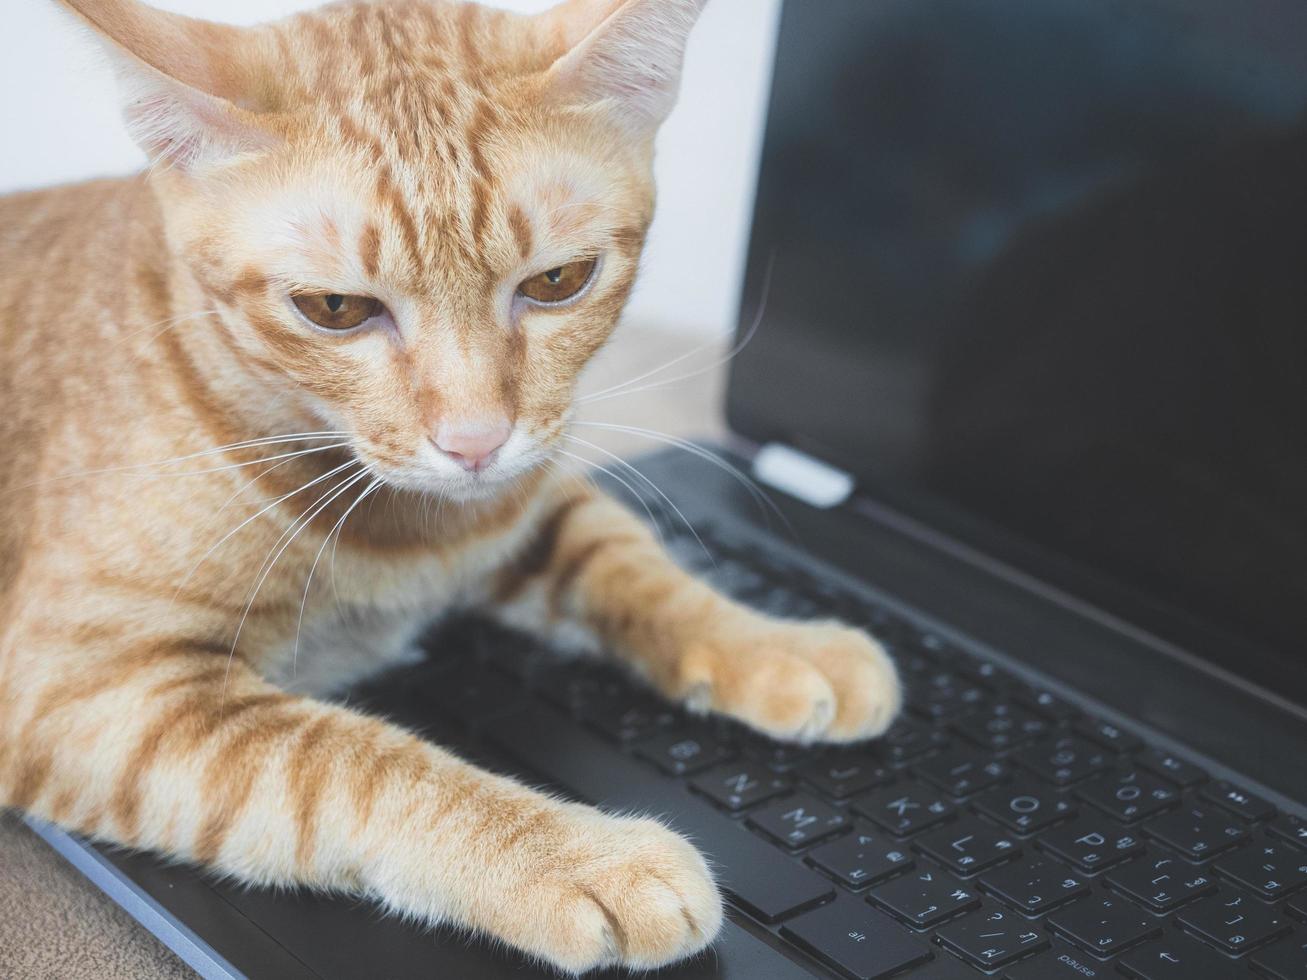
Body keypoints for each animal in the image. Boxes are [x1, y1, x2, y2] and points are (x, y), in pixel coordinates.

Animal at [0, 0, 899, 972]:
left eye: (558, 282)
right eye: (335, 309)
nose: (475, 443)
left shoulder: (529, 503)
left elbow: (639, 570)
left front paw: (779, 643)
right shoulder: (77, 691)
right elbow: (349, 763)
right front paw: (577, 856)